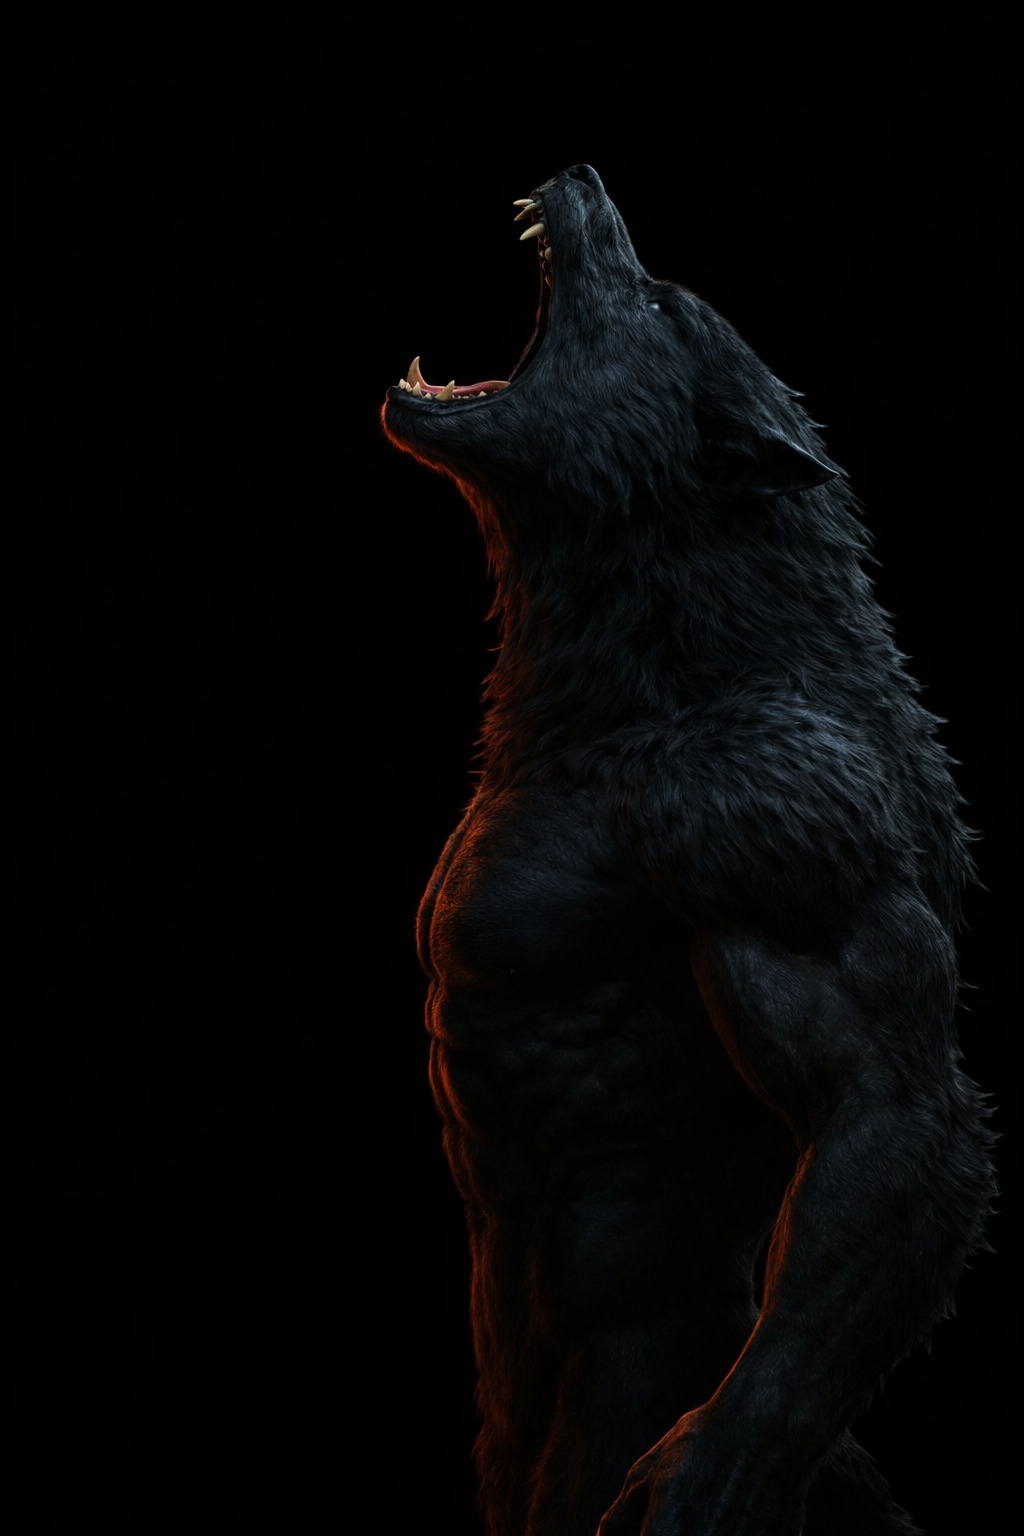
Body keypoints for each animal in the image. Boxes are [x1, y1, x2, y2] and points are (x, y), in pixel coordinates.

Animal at [381, 165, 995, 1535]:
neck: (660, 667)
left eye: (659, 300)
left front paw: (704, 1473)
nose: (584, 175)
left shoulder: (769, 815)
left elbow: (883, 1100)